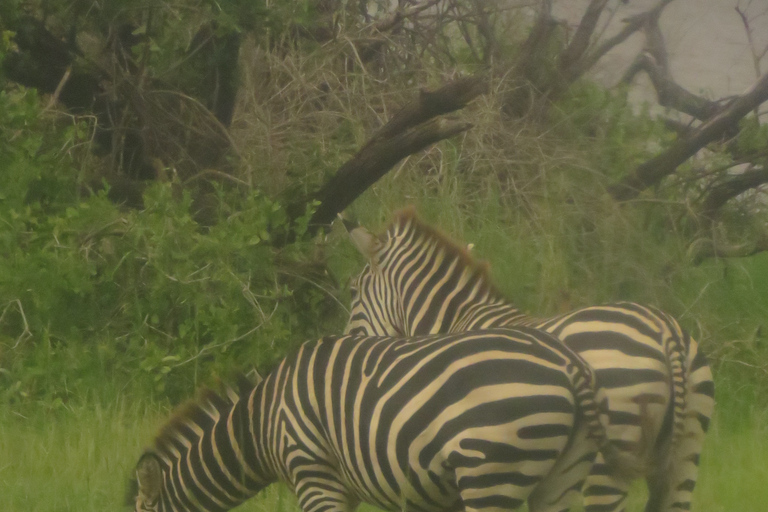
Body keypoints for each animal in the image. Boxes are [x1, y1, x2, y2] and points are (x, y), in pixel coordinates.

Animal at [342, 207, 712, 512]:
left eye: (352, 292)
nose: (350, 344)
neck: (459, 320)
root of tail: (666, 332)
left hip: (608, 463)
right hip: (687, 452)